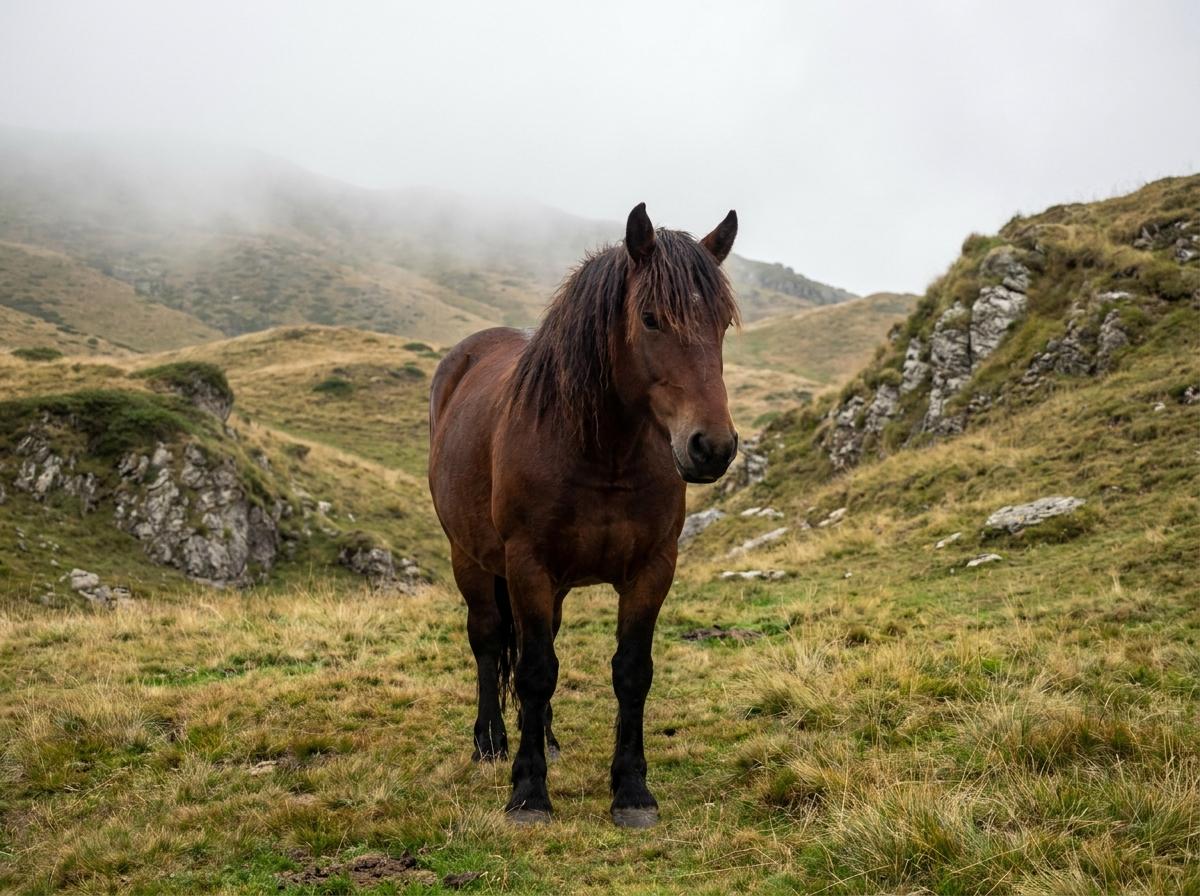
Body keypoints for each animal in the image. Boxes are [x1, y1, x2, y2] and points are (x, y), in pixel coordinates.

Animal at [428, 203, 740, 827]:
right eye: (650, 319)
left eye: (721, 323)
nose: (712, 447)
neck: (602, 452)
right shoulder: (527, 565)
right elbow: (533, 671)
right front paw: (528, 793)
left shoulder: (652, 569)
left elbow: (630, 671)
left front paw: (632, 791)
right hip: (470, 560)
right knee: (489, 639)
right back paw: (491, 743)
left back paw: (545, 739)